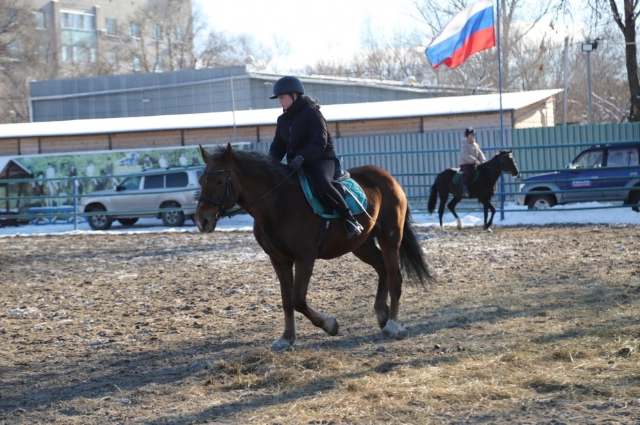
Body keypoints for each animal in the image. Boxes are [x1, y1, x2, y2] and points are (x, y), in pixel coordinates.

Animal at [196, 144, 430, 350]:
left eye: (219, 181)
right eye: (201, 180)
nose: (202, 220)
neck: (278, 203)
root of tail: (387, 177)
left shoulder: (305, 258)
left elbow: (298, 299)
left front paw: (330, 325)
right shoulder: (278, 260)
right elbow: (286, 300)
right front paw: (287, 338)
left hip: (390, 237)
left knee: (394, 277)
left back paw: (391, 326)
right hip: (361, 244)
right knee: (382, 269)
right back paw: (382, 313)